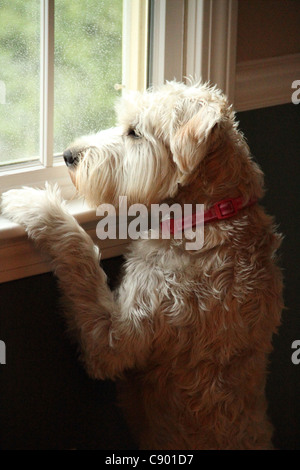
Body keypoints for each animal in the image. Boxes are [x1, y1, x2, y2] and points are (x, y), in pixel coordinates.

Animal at [1, 81, 282, 452]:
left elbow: (80, 256)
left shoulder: (116, 339)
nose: (68, 155)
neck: (211, 218)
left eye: (134, 132)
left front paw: (36, 205)